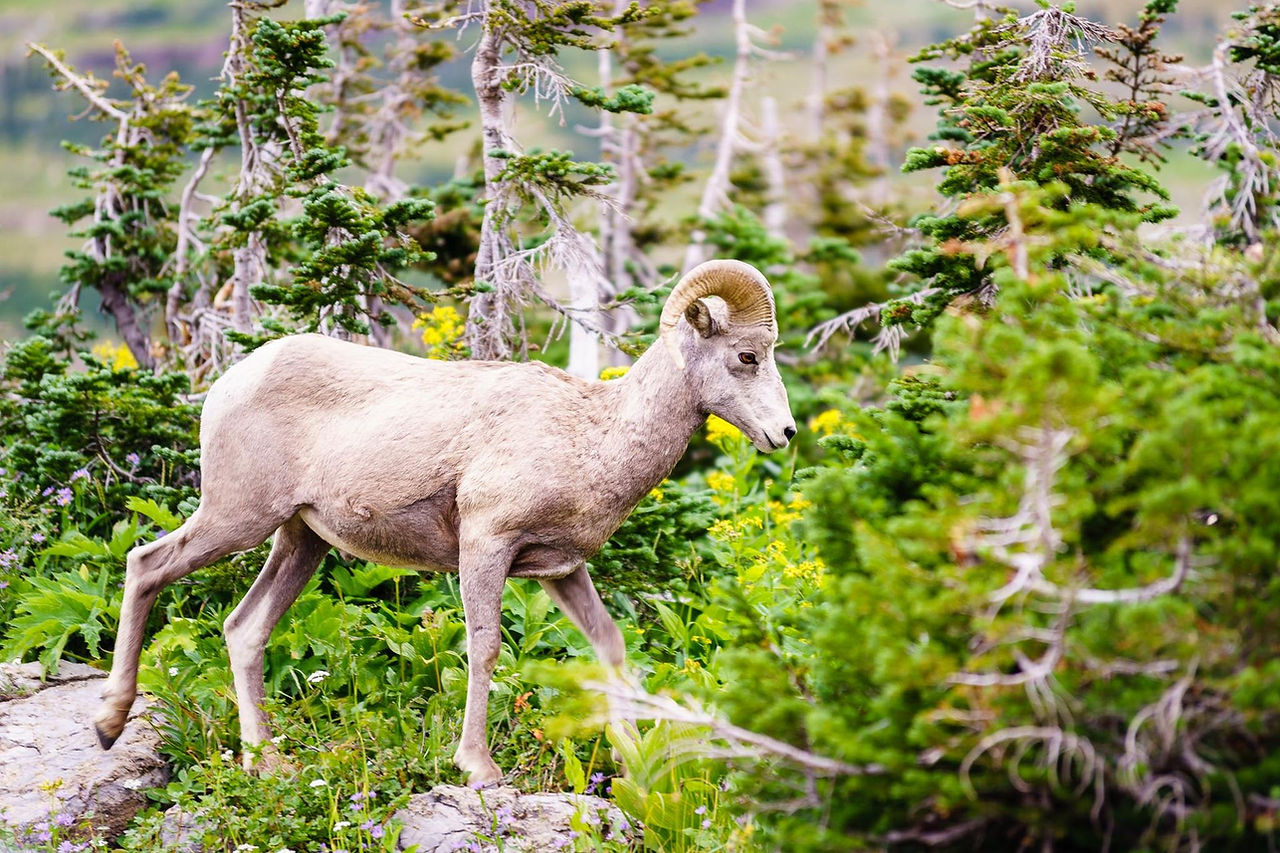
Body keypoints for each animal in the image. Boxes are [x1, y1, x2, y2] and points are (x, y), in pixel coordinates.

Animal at [93, 258, 796, 784]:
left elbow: (609, 643)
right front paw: (477, 767)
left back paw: (266, 763)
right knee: (146, 565)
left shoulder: (560, 571)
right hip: (237, 518)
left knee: (244, 629)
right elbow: (484, 648)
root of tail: (230, 382)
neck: (595, 435)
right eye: (746, 357)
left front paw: (630, 763)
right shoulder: (485, 546)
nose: (784, 433)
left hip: (300, 541)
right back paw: (108, 724)